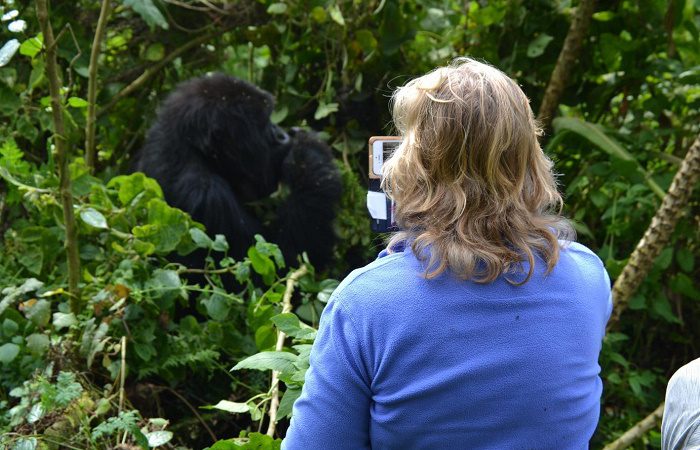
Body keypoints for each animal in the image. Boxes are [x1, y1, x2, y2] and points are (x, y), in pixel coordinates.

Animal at [134, 75, 342, 268]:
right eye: (264, 123)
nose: (282, 135)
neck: (196, 151)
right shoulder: (207, 196)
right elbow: (275, 262)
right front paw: (310, 158)